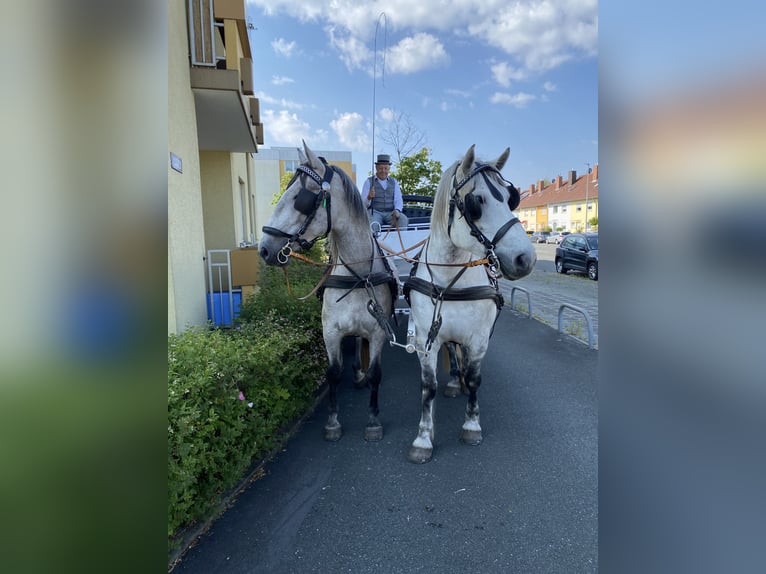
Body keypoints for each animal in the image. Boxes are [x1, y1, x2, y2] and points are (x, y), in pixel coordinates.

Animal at [260, 142, 400, 444]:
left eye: (300, 199)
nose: (264, 249)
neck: (357, 276)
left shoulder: (378, 330)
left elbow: (376, 374)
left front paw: (373, 420)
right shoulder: (331, 331)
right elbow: (333, 373)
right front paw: (333, 422)